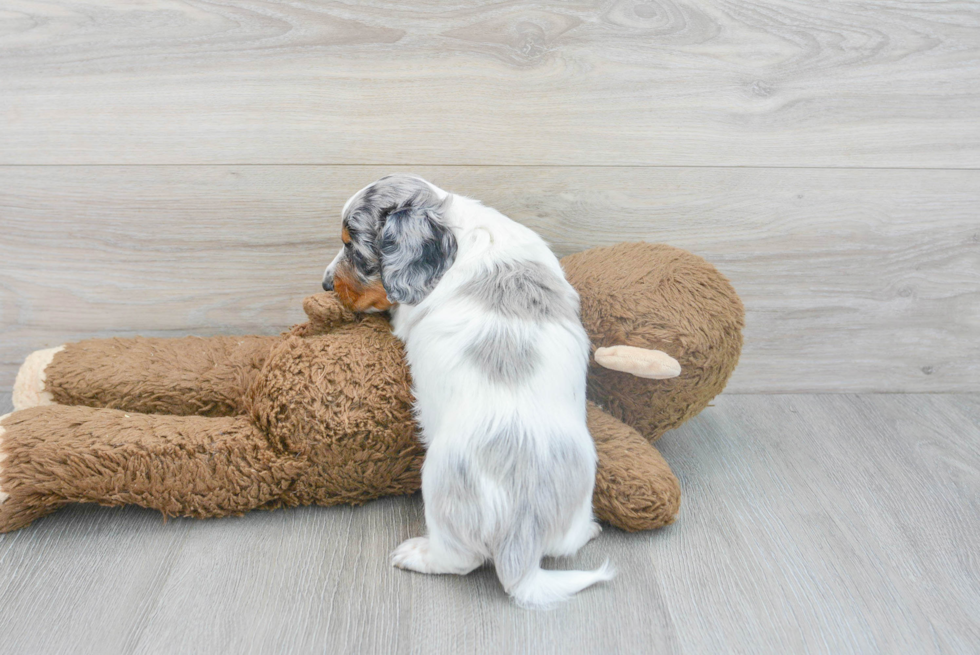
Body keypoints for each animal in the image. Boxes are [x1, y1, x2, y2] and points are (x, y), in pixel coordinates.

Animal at [324, 174, 612, 608]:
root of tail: (521, 538)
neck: (457, 227)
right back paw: (590, 530)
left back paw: (417, 554)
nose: (325, 285)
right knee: (566, 544)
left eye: (351, 246)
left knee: (461, 560)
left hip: (438, 485)